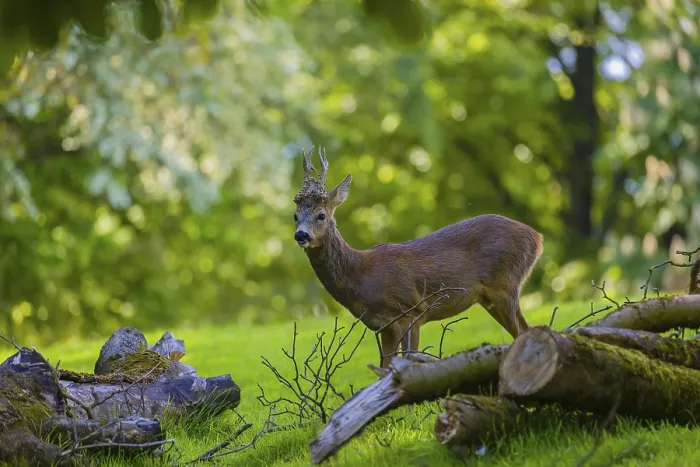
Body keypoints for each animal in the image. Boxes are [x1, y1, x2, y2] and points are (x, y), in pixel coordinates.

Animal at [292, 147, 544, 368]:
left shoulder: (411, 311)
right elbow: (384, 369)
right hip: (489, 298)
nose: (301, 235)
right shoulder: (384, 326)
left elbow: (409, 359)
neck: (363, 276)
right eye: (295, 216)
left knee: (524, 331)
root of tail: (537, 237)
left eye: (321, 215)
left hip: (506, 284)